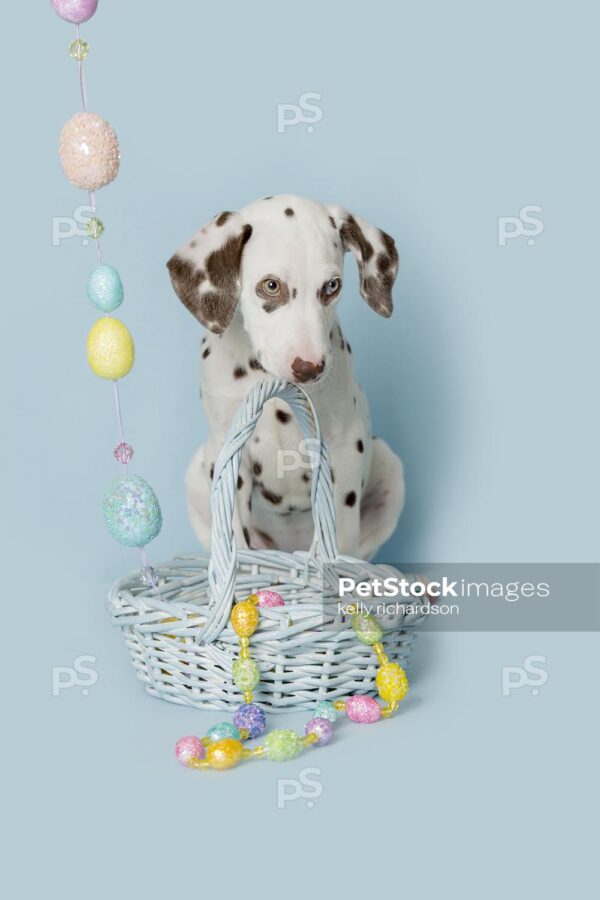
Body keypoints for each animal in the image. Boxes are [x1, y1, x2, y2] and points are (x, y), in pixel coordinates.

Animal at [166, 194, 406, 560]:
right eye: (271, 285)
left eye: (332, 286)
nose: (310, 367)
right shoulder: (228, 451)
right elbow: (234, 534)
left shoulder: (343, 451)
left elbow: (340, 535)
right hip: (198, 469)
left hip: (389, 466)